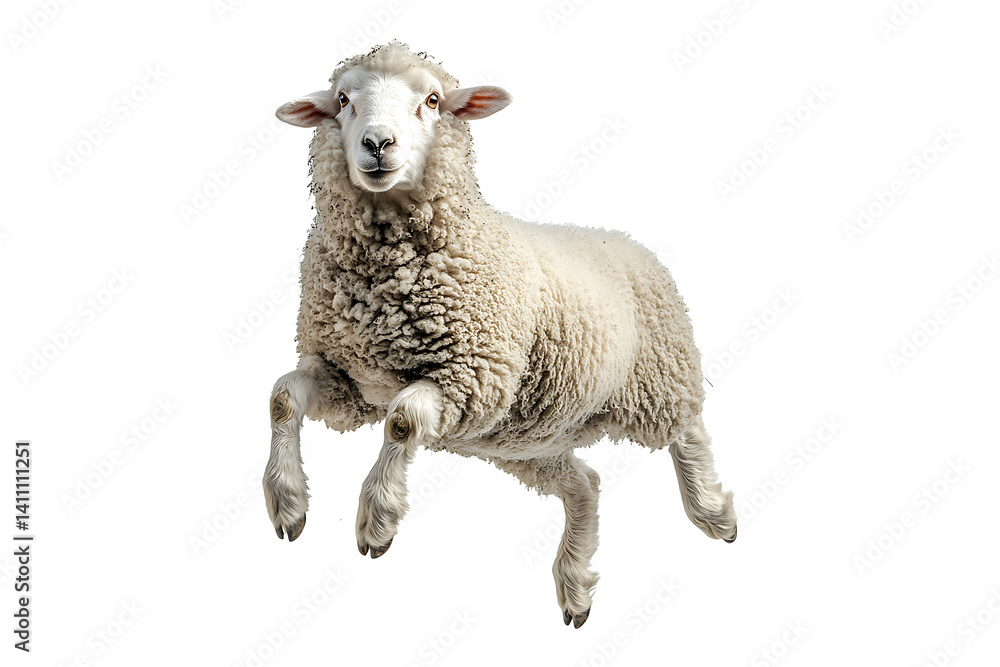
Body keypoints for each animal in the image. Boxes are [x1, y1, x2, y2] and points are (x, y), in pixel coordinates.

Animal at [264, 42, 737, 628]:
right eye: (344, 99)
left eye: (433, 100)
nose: (377, 144)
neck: (385, 282)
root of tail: (623, 239)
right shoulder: (348, 382)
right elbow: (283, 398)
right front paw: (287, 503)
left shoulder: (470, 379)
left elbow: (401, 421)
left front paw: (377, 518)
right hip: (526, 442)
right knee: (584, 485)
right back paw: (575, 584)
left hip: (658, 377)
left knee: (688, 432)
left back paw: (712, 511)